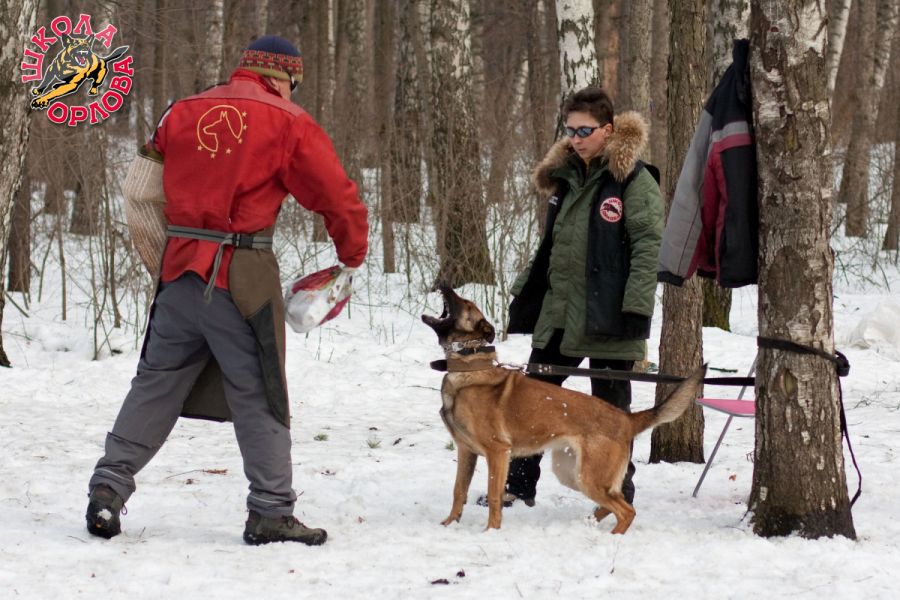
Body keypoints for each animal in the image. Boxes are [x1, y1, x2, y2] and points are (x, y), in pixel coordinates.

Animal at [422, 285, 705, 534]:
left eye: (466, 304)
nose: (444, 284)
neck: (468, 367)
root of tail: (626, 418)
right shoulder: (466, 451)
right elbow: (458, 490)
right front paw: (449, 524)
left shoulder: (497, 452)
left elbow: (493, 496)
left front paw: (491, 531)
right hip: (572, 474)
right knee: (613, 504)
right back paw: (590, 522)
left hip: (588, 478)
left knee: (627, 511)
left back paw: (611, 536)